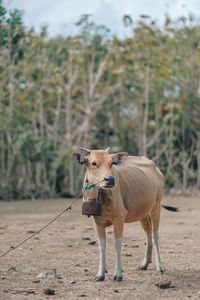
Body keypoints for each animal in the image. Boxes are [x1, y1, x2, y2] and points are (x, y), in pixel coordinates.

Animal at [73, 149, 175, 282]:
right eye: (94, 163)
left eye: (111, 163)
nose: (110, 180)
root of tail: (156, 169)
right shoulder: (97, 222)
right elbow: (101, 246)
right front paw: (100, 274)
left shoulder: (119, 218)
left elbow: (117, 244)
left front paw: (118, 274)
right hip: (142, 213)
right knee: (148, 234)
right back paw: (144, 264)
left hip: (156, 207)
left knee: (155, 235)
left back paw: (160, 266)